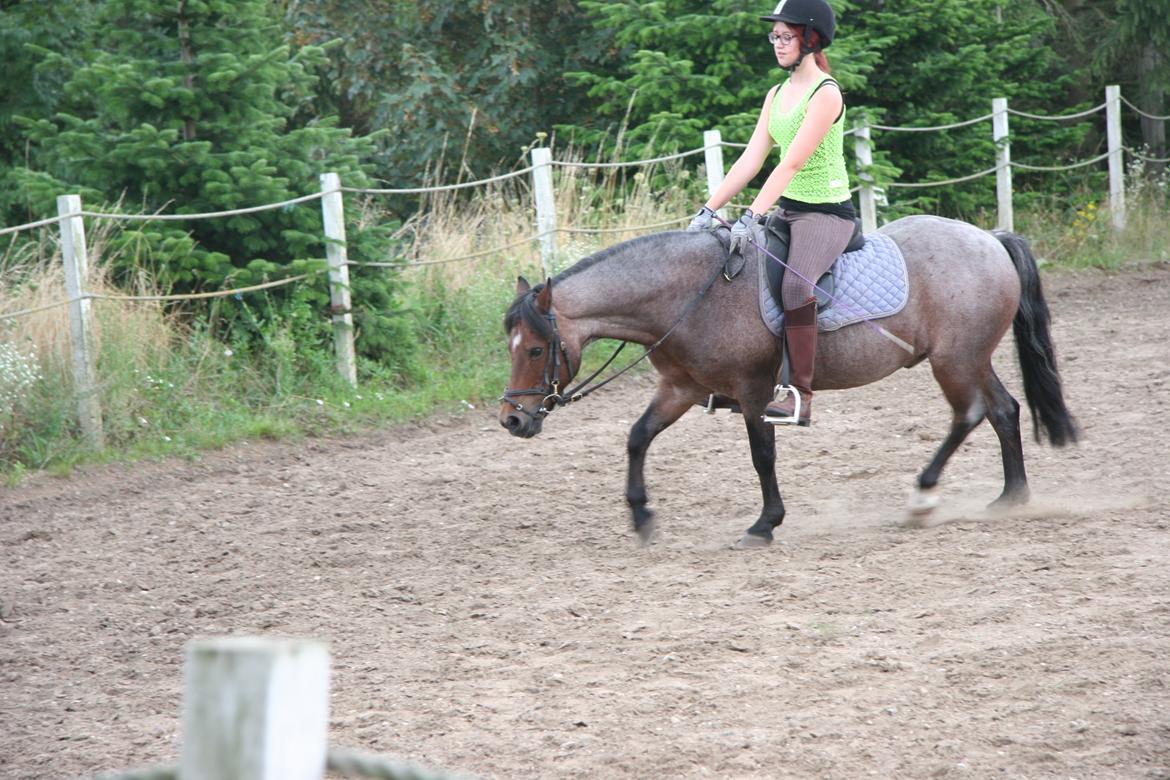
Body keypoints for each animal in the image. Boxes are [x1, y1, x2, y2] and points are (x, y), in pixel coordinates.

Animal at [493, 210, 1076, 547]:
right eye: (510, 346)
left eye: (538, 349)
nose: (512, 419)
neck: (689, 295)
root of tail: (990, 239)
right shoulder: (680, 388)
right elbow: (637, 437)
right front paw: (641, 516)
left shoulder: (754, 392)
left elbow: (762, 456)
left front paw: (765, 523)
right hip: (971, 357)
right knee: (1002, 409)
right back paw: (1011, 497)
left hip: (953, 361)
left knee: (970, 414)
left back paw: (923, 497)